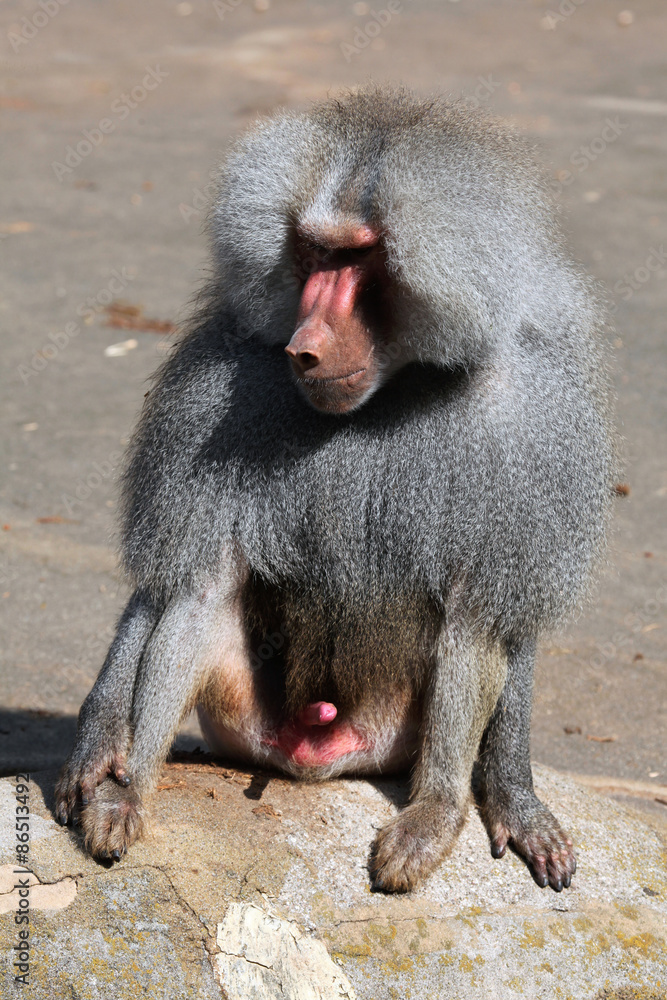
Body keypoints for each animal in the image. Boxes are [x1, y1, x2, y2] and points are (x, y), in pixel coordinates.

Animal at [55, 86, 615, 894]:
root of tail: (313, 757)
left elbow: (484, 618)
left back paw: (451, 803)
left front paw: (478, 806)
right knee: (194, 602)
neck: (393, 387)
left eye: (358, 256)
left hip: (386, 736)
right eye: (314, 254)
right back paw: (120, 770)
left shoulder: (532, 421)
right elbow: (191, 586)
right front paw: (116, 779)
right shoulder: (219, 382)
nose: (304, 349)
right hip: (248, 723)